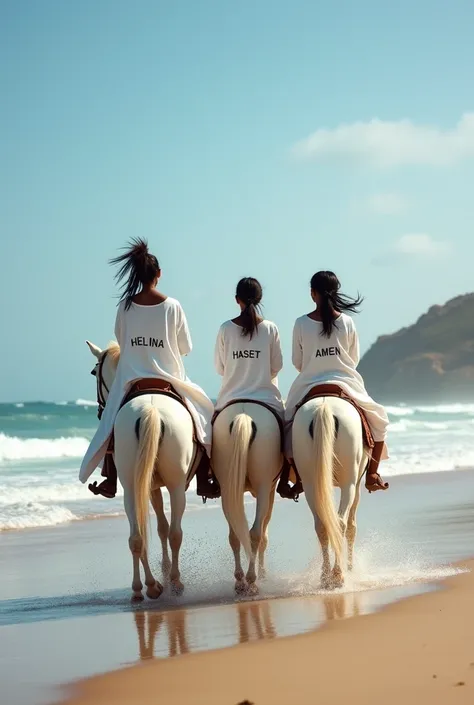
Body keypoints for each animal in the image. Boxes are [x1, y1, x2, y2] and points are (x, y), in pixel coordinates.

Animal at [87, 340, 202, 600]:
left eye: (93, 373)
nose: (99, 411)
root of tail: (151, 411)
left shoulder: (148, 485)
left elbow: (158, 527)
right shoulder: (153, 486)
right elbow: (162, 528)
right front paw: (166, 569)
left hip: (133, 485)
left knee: (138, 536)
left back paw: (144, 587)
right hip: (173, 485)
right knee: (170, 533)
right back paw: (169, 583)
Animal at [211, 402, 282, 592]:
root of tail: (244, 416)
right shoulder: (270, 491)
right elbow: (264, 535)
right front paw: (263, 574)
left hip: (227, 489)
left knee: (235, 535)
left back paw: (240, 580)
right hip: (263, 487)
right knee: (255, 533)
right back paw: (252, 579)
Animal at [292, 396, 370, 588]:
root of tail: (324, 406)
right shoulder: (357, 485)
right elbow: (352, 526)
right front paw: (350, 567)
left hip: (310, 484)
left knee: (322, 525)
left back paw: (326, 576)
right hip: (349, 483)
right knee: (341, 522)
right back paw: (338, 574)